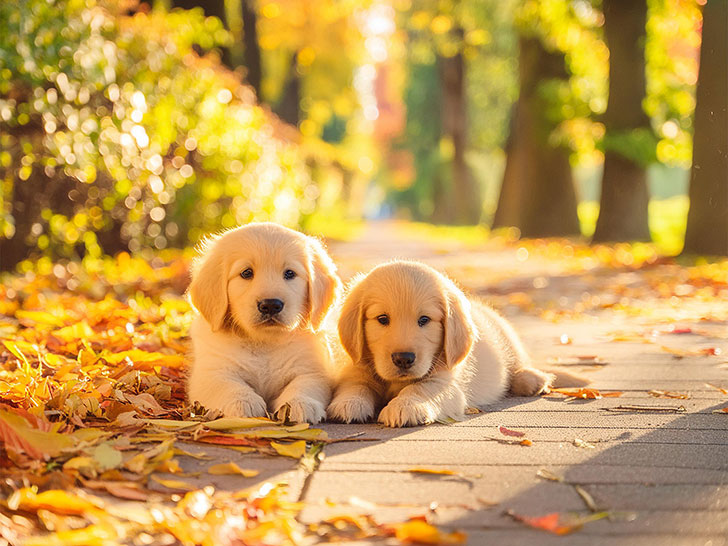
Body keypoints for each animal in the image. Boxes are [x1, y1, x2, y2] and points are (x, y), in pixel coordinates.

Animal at [185, 221, 338, 420]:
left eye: (290, 273)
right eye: (246, 273)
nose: (271, 305)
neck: (264, 342)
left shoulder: (313, 369)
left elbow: (305, 384)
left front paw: (300, 403)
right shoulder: (210, 372)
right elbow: (227, 384)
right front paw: (242, 401)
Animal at [328, 262, 584, 428]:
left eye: (424, 320)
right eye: (382, 319)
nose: (404, 359)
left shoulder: (445, 381)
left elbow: (420, 389)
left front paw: (405, 406)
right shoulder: (358, 367)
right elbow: (356, 385)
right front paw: (349, 403)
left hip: (507, 337)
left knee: (520, 365)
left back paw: (532, 379)